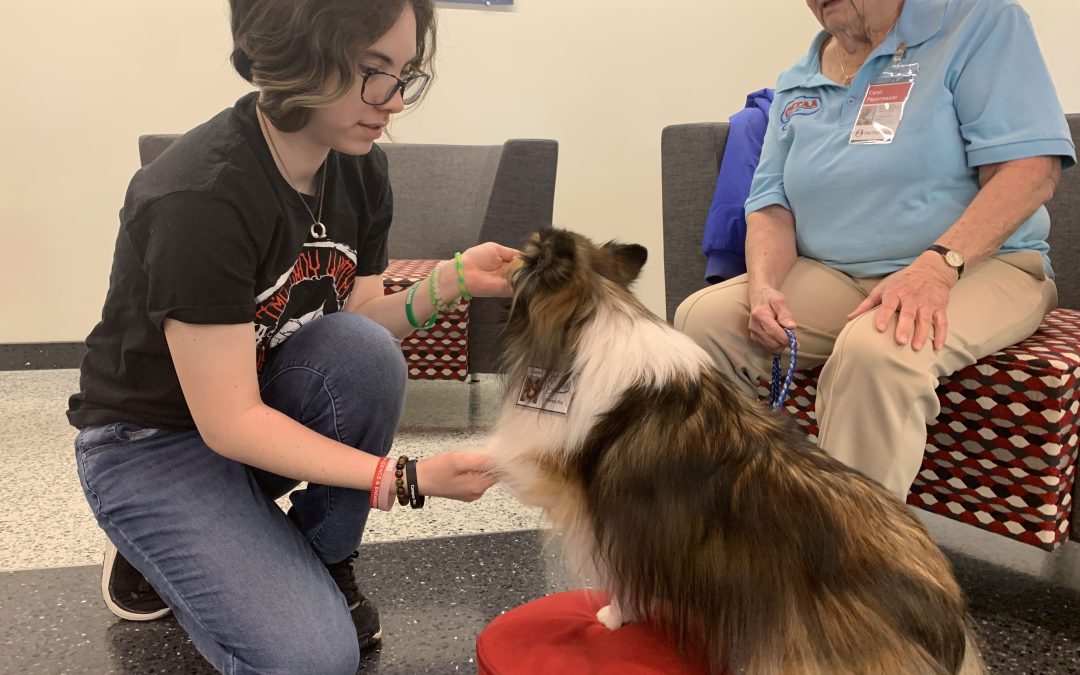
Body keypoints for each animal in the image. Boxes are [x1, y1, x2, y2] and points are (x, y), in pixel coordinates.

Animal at [477, 228, 984, 669]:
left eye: (527, 255)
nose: (506, 256)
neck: (596, 308)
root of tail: (945, 606)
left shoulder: (607, 516)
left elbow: (619, 577)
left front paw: (612, 617)